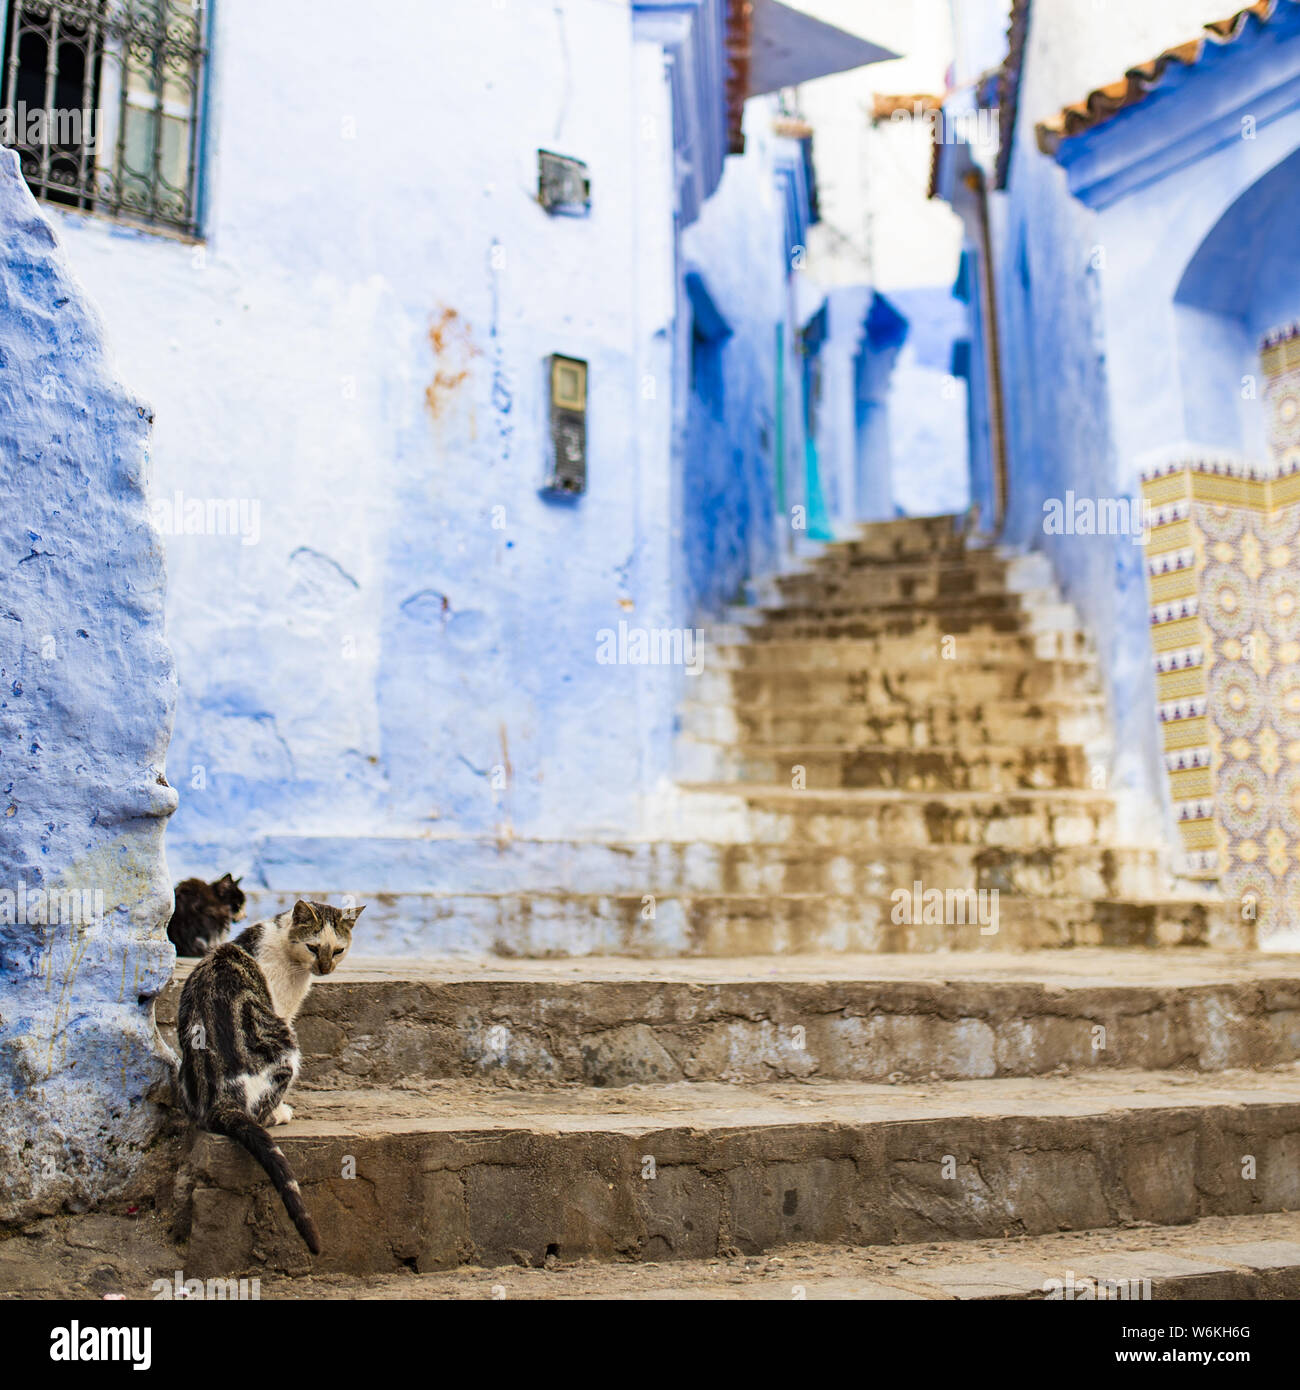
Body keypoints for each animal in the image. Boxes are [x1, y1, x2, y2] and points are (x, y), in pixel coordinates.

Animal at [175, 895, 364, 1256]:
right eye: (313, 947)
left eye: (338, 950)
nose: (325, 969)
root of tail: (221, 1101)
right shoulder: (283, 1010)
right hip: (286, 1042)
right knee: (260, 1113)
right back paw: (279, 1113)